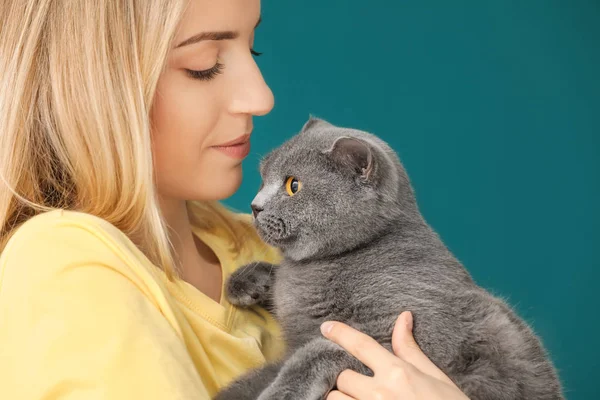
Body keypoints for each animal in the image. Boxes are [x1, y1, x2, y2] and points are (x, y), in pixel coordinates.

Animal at [214, 117, 564, 398]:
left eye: (293, 186)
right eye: (263, 178)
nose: (254, 206)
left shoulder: (418, 335)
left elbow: (317, 351)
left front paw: (282, 393)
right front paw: (244, 281)